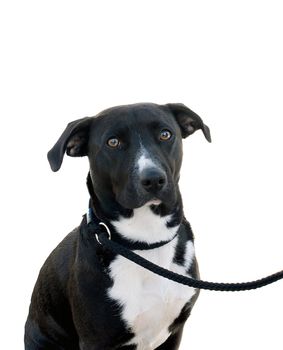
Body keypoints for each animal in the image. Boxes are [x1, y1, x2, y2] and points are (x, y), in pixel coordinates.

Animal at [25, 104, 211, 350]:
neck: (145, 242)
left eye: (165, 134)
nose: (153, 179)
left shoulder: (174, 333)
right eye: (113, 142)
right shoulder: (96, 340)